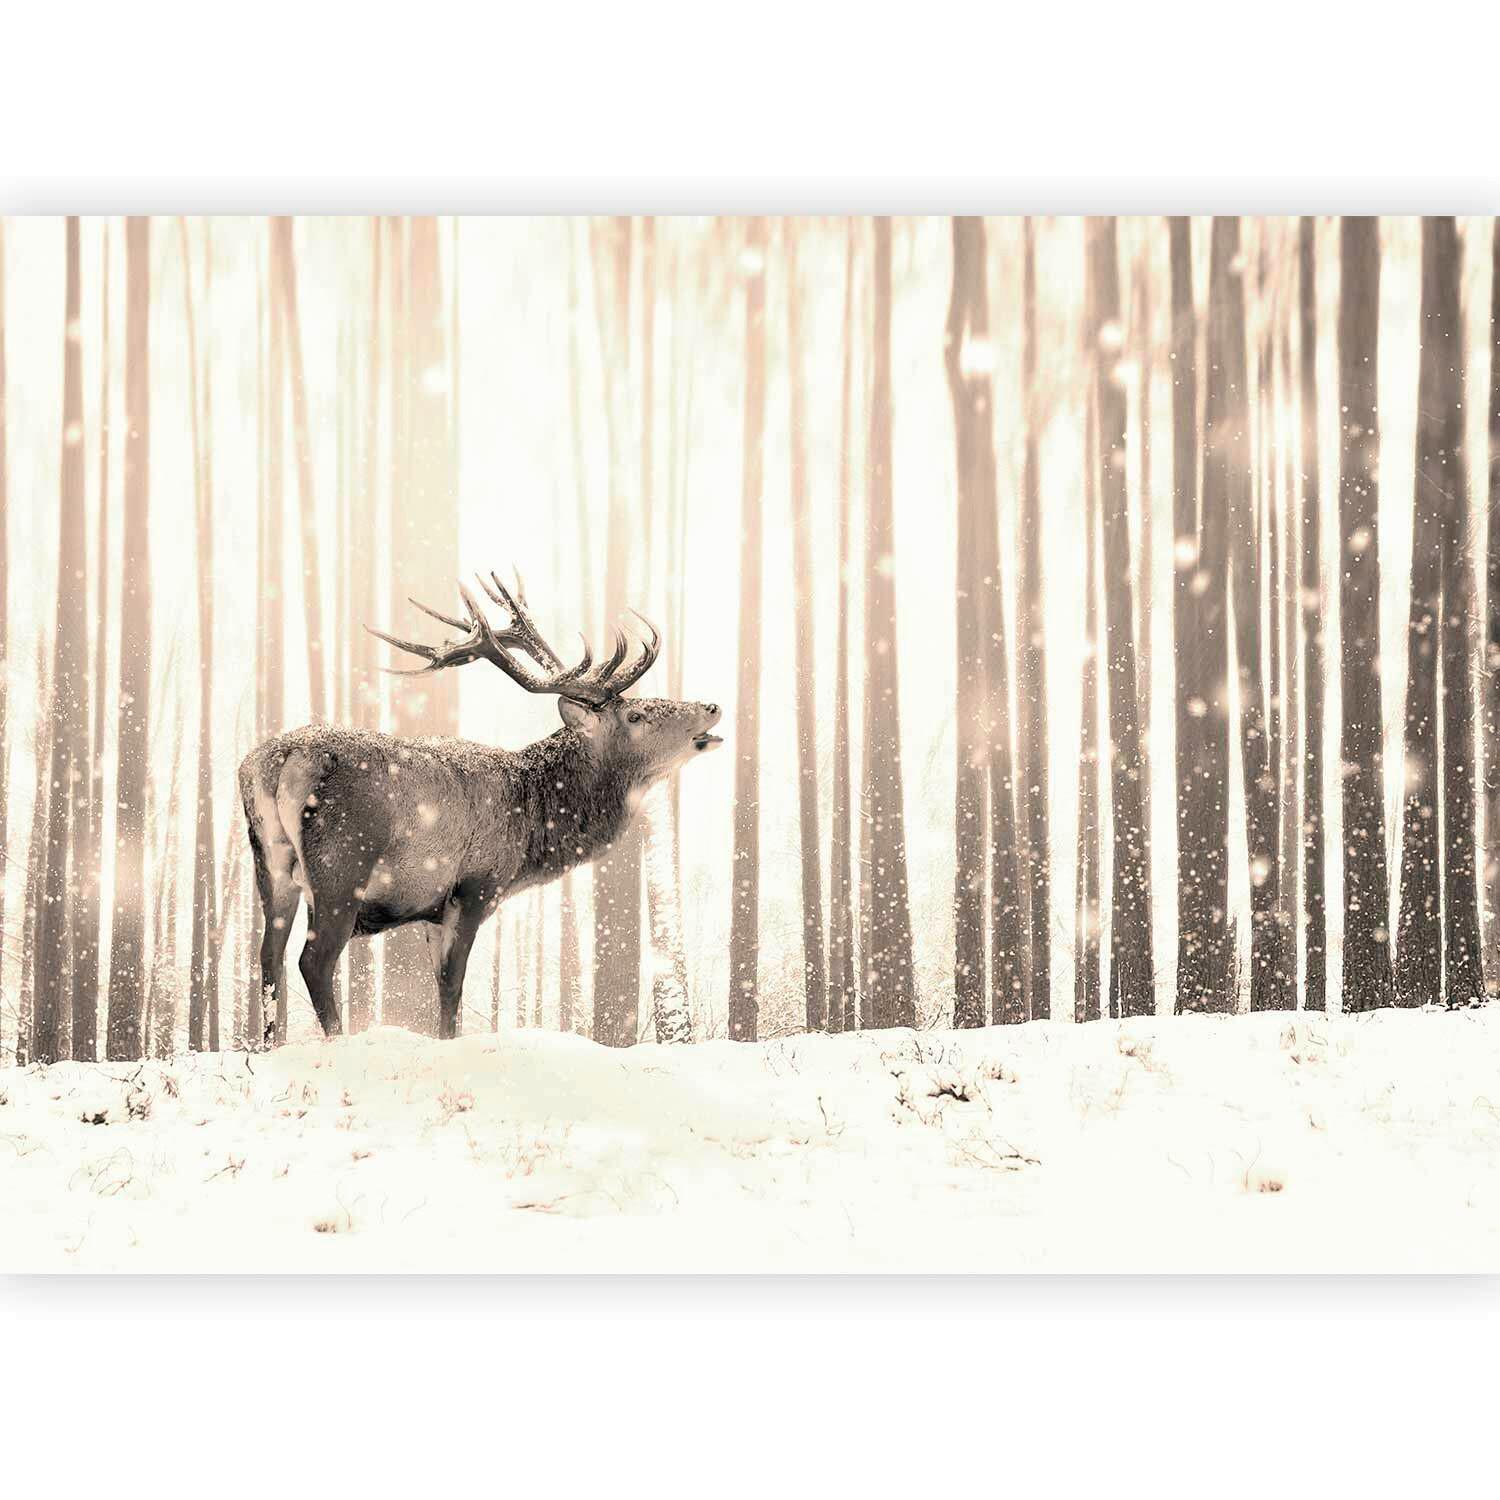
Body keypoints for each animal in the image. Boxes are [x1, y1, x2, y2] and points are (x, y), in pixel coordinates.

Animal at [238, 571, 721, 1043]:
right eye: (635, 716)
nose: (712, 706)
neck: (532, 828)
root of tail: (280, 760)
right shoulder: (475, 885)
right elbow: (453, 986)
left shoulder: (430, 910)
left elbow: (439, 987)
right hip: (342, 864)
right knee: (314, 959)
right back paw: (337, 1040)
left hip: (271, 865)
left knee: (268, 958)